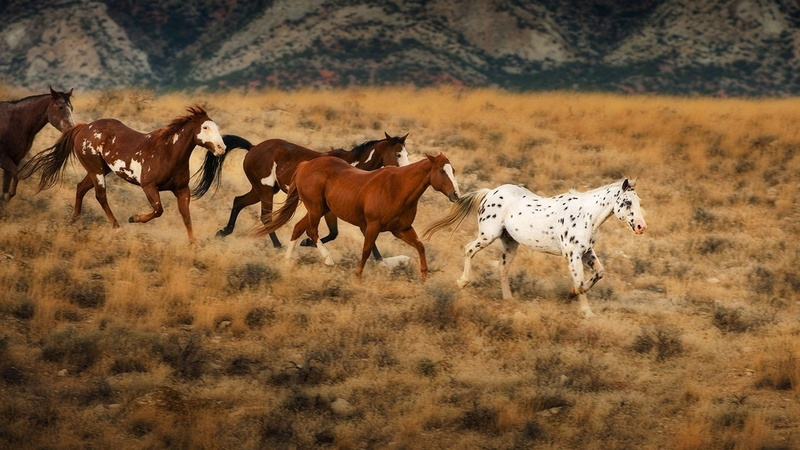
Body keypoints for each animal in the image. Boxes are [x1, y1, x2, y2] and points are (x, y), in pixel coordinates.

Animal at [19, 106, 226, 244]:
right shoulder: (149, 186)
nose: (221, 148)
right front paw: (134, 218)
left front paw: (193, 244)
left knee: (81, 188)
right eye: (205, 128)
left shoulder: (182, 189)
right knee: (100, 196)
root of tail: (83, 127)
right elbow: (158, 210)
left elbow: (186, 215)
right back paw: (117, 227)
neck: (168, 152)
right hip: (96, 170)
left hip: (100, 170)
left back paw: (74, 219)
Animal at [206, 132, 410, 254]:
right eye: (398, 154)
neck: (351, 167)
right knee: (266, 216)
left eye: (407, 153)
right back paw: (278, 246)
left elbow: (348, 232)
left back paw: (223, 232)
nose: (406, 172)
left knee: (238, 202)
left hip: (261, 190)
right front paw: (306, 242)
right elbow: (338, 233)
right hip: (265, 191)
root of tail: (253, 147)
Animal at [257, 153, 460, 279]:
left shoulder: (401, 229)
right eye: (442, 171)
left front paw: (424, 275)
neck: (397, 188)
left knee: (299, 228)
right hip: (316, 209)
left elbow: (420, 246)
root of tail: (306, 165)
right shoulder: (372, 226)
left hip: (320, 210)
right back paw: (328, 260)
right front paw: (358, 276)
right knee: (311, 231)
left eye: (453, 170)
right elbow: (366, 250)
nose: (456, 194)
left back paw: (288, 260)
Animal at [422, 179, 647, 318]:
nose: (641, 227)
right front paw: (585, 311)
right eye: (627, 202)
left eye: (639, 201)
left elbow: (599, 273)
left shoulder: (586, 252)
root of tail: (489, 193)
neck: (586, 215)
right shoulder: (572, 255)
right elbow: (581, 282)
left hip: (510, 243)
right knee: (469, 249)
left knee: (502, 268)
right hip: (488, 235)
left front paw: (572, 294)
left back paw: (509, 299)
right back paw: (462, 282)